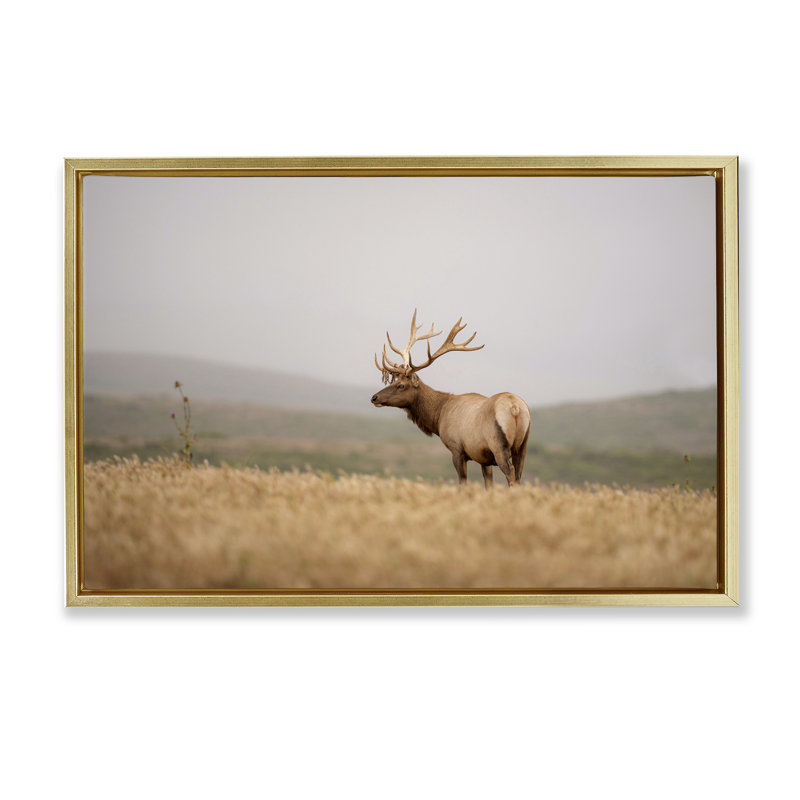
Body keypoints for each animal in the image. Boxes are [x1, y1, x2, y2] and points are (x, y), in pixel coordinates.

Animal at [371, 310, 531, 488]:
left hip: (498, 444)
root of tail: (514, 407)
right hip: (523, 445)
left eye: (401, 385)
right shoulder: (483, 457)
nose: (374, 397)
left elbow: (462, 482)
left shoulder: (457, 449)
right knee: (518, 475)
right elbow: (488, 484)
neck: (439, 415)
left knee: (511, 475)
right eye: (393, 381)